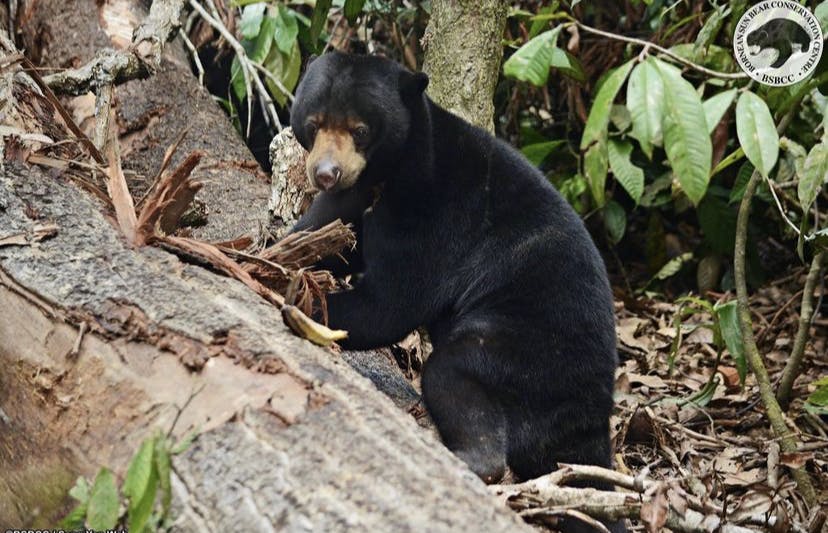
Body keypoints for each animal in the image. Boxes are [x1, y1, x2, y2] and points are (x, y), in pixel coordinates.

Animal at [290, 53, 620, 532]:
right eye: (313, 123)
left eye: (361, 129)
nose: (326, 173)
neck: (387, 172)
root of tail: (593, 413)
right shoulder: (353, 198)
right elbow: (321, 235)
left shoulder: (433, 213)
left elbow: (390, 302)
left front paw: (305, 305)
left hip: (527, 347)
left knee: (453, 373)